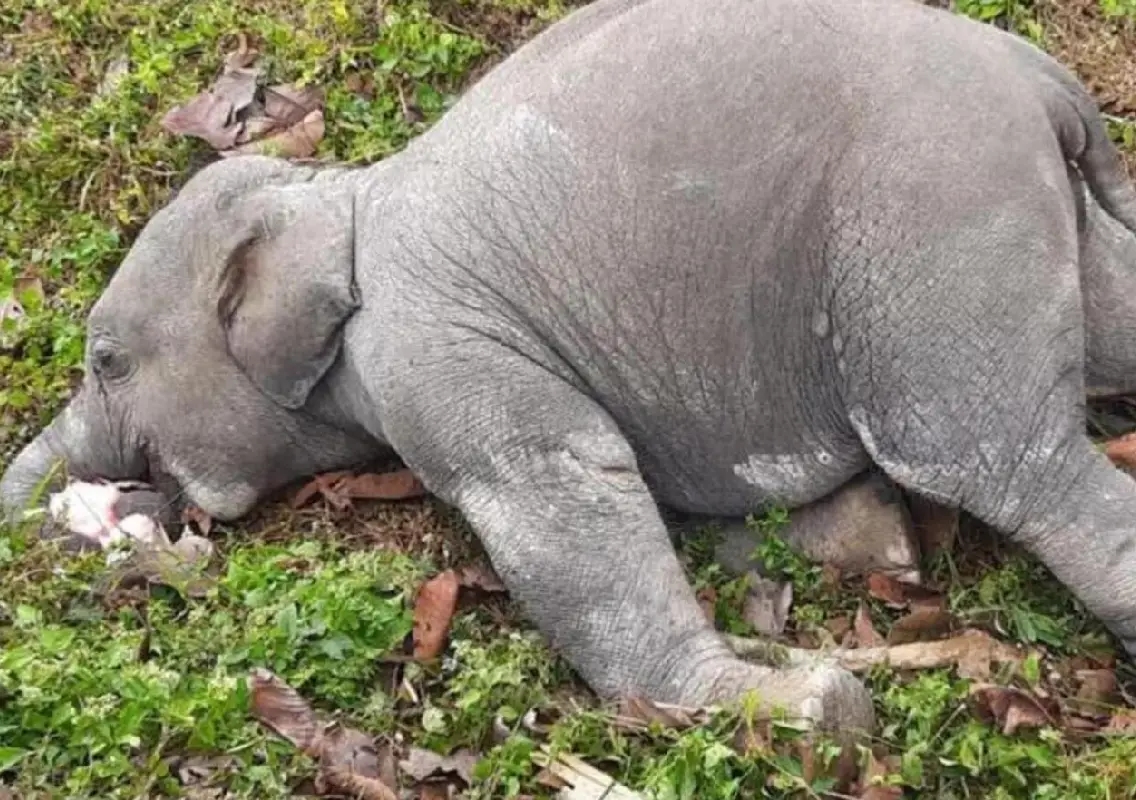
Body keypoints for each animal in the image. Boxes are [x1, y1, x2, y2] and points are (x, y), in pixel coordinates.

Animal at [6, 0, 1136, 735]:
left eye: (108, 359)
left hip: (932, 202)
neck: (339, 192)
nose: (97, 515)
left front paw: (808, 710)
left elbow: (559, 489)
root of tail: (1041, 79)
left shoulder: (433, 351)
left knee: (981, 455)